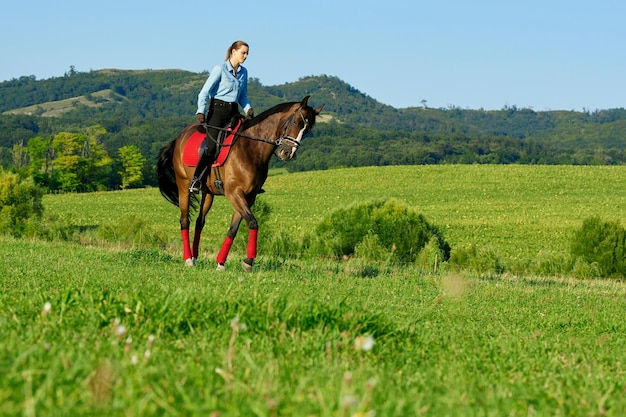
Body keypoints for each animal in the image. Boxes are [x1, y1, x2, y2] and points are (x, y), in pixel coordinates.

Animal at [156, 94, 322, 272]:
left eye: (307, 130)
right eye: (296, 123)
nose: (287, 153)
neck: (251, 148)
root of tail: (180, 136)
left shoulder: (248, 196)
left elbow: (233, 229)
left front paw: (221, 262)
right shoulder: (234, 193)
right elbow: (253, 222)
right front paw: (248, 261)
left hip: (208, 193)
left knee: (200, 221)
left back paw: (195, 257)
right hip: (183, 186)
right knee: (184, 220)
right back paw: (188, 259)